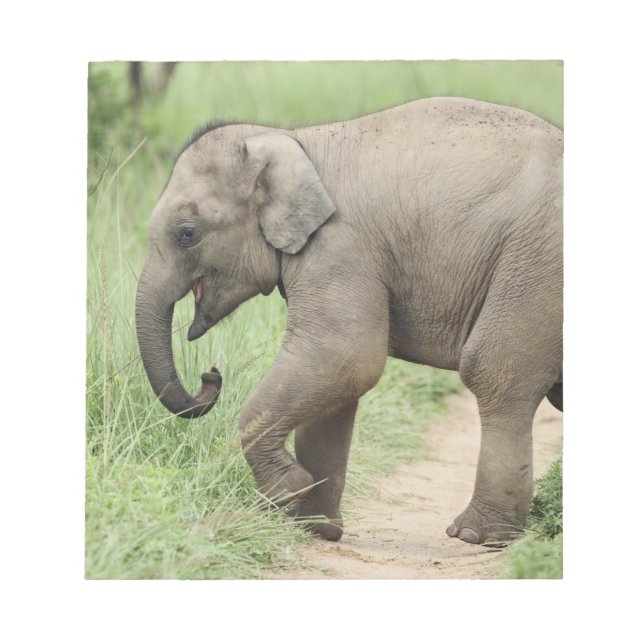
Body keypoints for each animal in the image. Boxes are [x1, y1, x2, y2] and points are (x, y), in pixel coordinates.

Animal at [135, 97, 563, 545]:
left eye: (187, 234)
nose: (211, 375)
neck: (293, 139)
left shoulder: (339, 246)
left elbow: (345, 356)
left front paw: (288, 491)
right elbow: (338, 385)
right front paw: (314, 527)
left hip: (536, 271)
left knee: (494, 374)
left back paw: (473, 535)